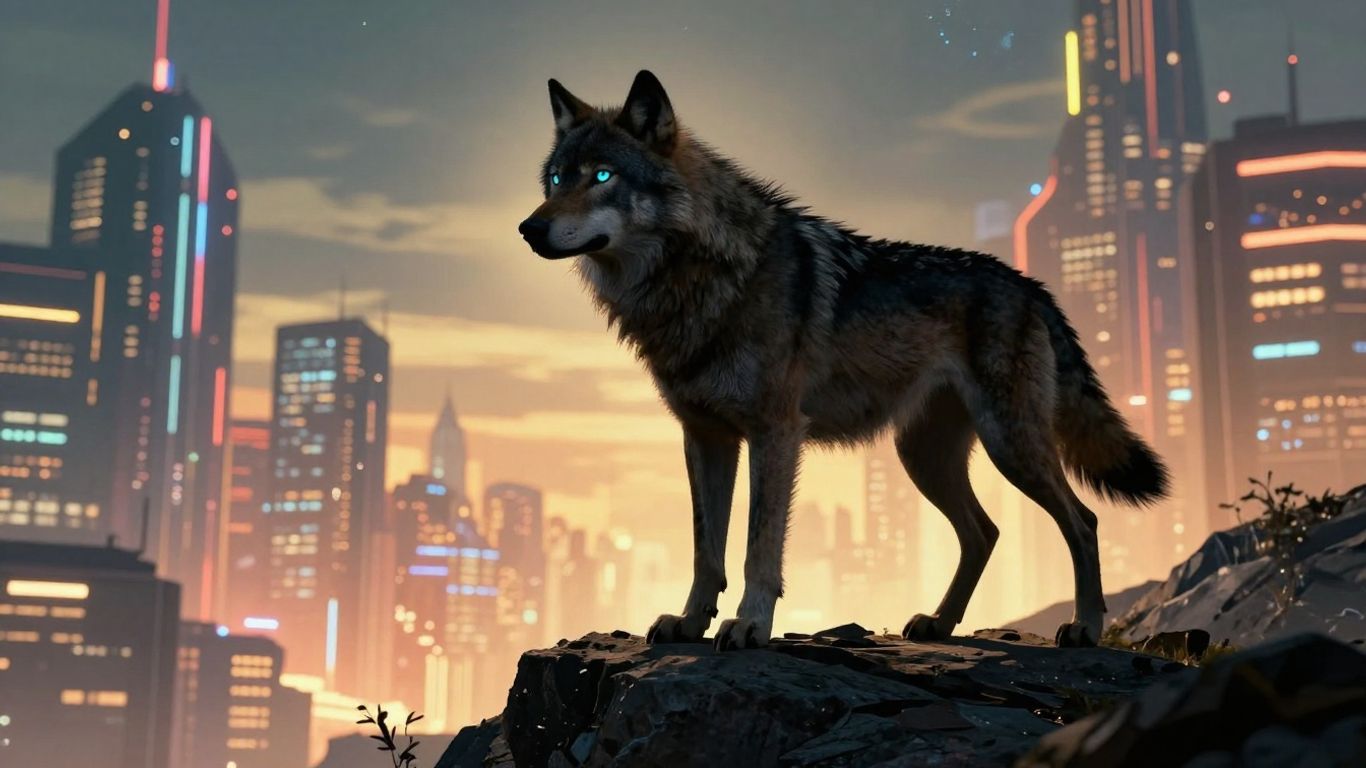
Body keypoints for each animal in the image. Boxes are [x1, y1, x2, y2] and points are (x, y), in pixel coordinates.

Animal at [519, 70, 1169, 651]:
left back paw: (1085, 627)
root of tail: (1033, 286)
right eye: (556, 179)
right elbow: (707, 549)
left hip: (1010, 446)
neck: (699, 277)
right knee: (985, 531)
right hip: (924, 457)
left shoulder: (775, 432)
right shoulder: (705, 437)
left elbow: (758, 547)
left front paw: (749, 626)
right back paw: (939, 623)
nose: (528, 227)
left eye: (602, 176)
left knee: (1082, 522)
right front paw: (690, 622)